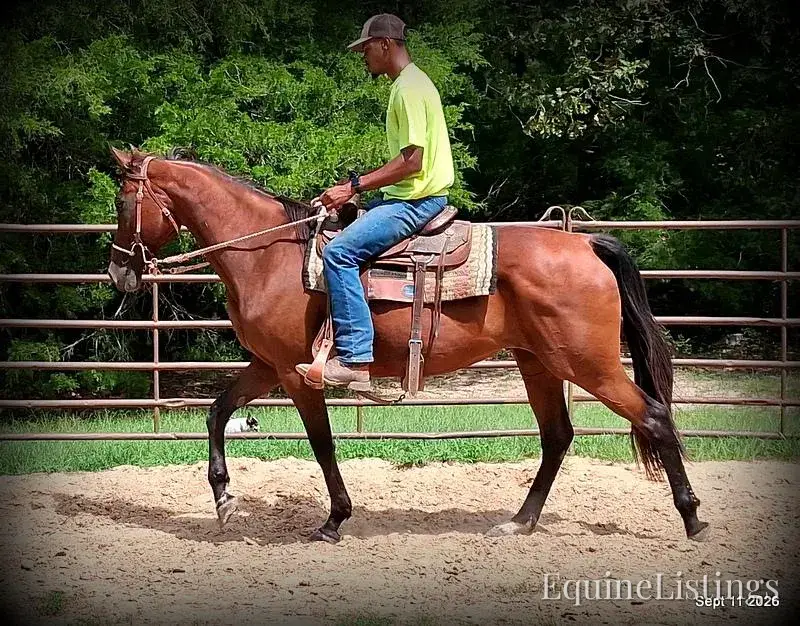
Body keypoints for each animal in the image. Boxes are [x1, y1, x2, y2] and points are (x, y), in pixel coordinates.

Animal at [106, 147, 709, 543]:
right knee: (558, 436)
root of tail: (584, 244)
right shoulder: (269, 365)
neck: (269, 255)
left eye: (122, 200)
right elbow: (216, 413)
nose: (118, 271)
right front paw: (224, 500)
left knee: (653, 417)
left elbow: (322, 445)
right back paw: (520, 521)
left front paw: (334, 520)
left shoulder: (299, 375)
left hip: (590, 364)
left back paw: (693, 518)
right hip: (539, 363)